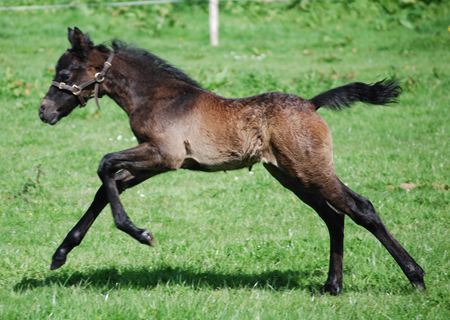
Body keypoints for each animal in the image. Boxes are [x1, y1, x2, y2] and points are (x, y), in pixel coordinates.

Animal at [38, 28, 426, 294]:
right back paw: (332, 286)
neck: (157, 97)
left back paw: (416, 277)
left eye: (65, 74)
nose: (43, 111)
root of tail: (312, 104)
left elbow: (104, 166)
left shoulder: (164, 155)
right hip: (291, 175)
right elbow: (107, 188)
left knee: (362, 208)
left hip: (310, 169)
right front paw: (61, 253)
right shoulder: (154, 161)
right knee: (334, 216)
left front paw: (141, 234)